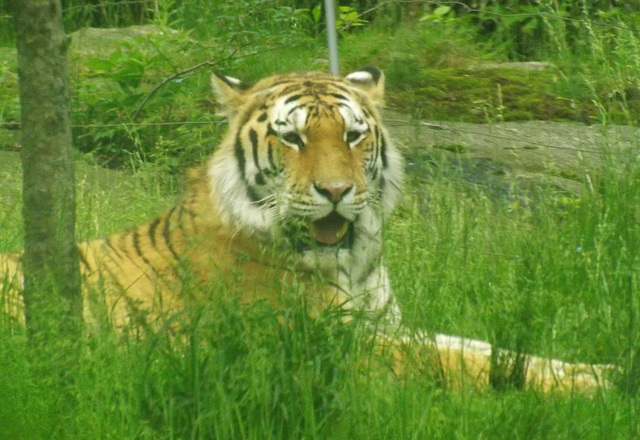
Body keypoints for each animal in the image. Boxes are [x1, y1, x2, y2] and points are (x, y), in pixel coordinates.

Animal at [0, 68, 608, 392]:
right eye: (291, 138)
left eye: (354, 135)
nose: (335, 191)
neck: (355, 261)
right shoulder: (319, 346)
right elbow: (456, 361)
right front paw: (596, 387)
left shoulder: (384, 321)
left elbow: (487, 347)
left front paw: (599, 367)